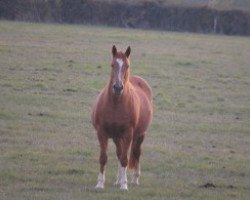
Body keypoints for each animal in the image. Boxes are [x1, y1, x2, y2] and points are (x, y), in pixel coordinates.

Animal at [90, 45, 152, 191]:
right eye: (112, 64)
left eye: (127, 65)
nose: (118, 87)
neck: (115, 105)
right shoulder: (102, 133)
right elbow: (104, 157)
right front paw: (100, 183)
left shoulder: (128, 134)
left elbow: (125, 159)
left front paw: (124, 185)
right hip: (117, 137)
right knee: (119, 153)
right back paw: (118, 179)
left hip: (139, 135)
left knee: (136, 153)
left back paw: (134, 179)